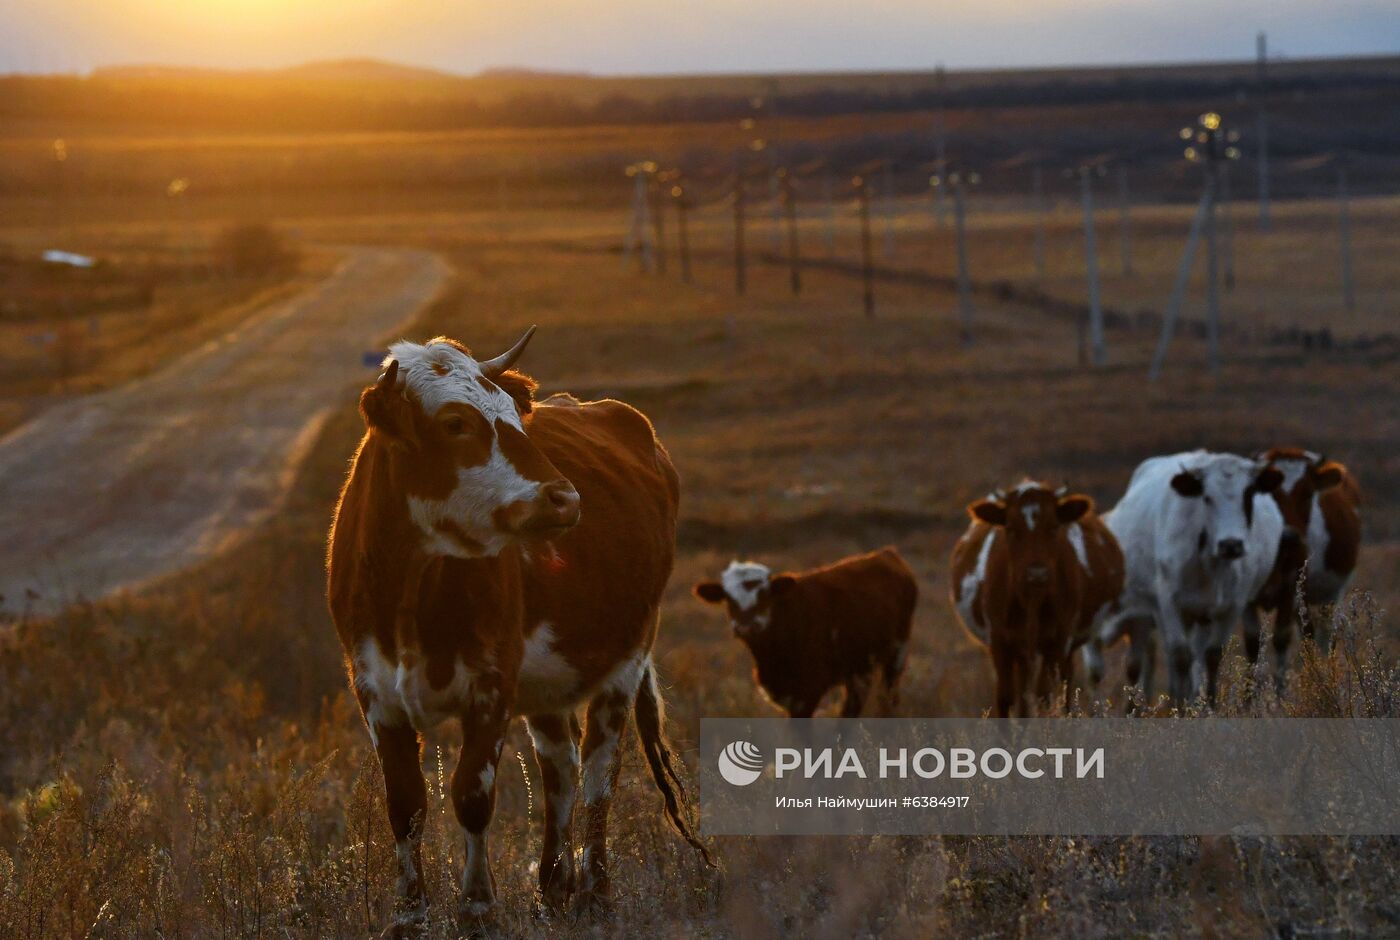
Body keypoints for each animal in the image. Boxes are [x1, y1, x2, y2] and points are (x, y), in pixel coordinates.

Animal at [323, 329, 705, 935]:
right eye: (455, 423)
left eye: (514, 419)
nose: (565, 498)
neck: (413, 587)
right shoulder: (374, 691)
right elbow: (405, 806)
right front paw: (409, 915)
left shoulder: (492, 684)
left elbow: (472, 795)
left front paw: (477, 908)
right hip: (548, 686)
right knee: (560, 769)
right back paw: (551, 890)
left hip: (625, 661)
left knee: (599, 772)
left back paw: (594, 894)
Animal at [691, 549, 918, 717]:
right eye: (728, 599)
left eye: (764, 595)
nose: (746, 626)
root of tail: (886, 554)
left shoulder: (806, 693)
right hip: (858, 666)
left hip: (898, 652)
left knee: (888, 698)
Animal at [946, 481, 1120, 717]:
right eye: (1011, 529)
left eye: (1054, 527)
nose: (1036, 574)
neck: (1030, 601)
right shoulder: (1000, 640)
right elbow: (1006, 698)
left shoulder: (1057, 641)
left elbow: (1044, 695)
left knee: (1061, 686)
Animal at [1254, 445, 1360, 686]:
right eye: (1271, 494)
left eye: (1308, 494)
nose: (1289, 535)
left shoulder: (1292, 586)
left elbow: (1284, 638)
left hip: (1331, 595)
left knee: (1324, 637)